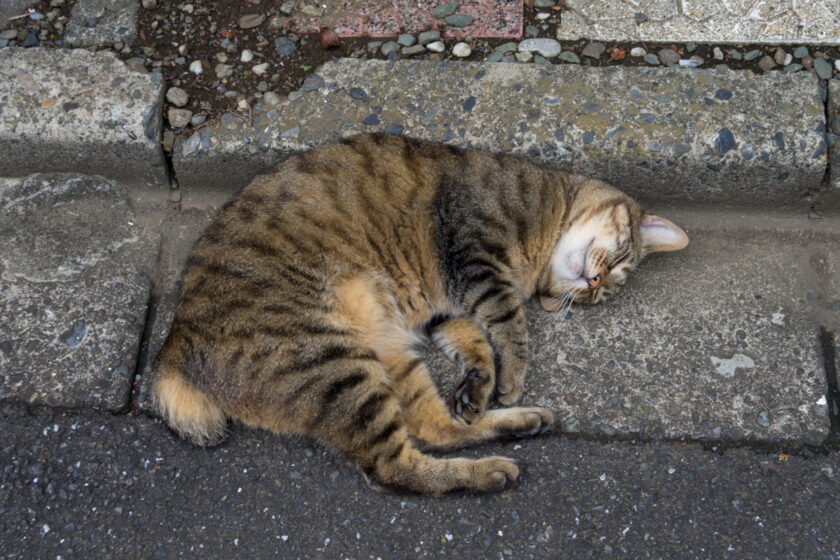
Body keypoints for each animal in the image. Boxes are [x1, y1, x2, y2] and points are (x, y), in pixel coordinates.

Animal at [151, 132, 688, 494]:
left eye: (604, 292)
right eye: (620, 261)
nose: (593, 285)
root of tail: (175, 344)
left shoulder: (442, 304)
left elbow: (476, 338)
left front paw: (480, 384)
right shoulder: (473, 253)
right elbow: (509, 323)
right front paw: (512, 374)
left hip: (383, 354)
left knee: (434, 428)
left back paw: (511, 423)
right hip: (337, 364)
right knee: (392, 469)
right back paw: (490, 469)